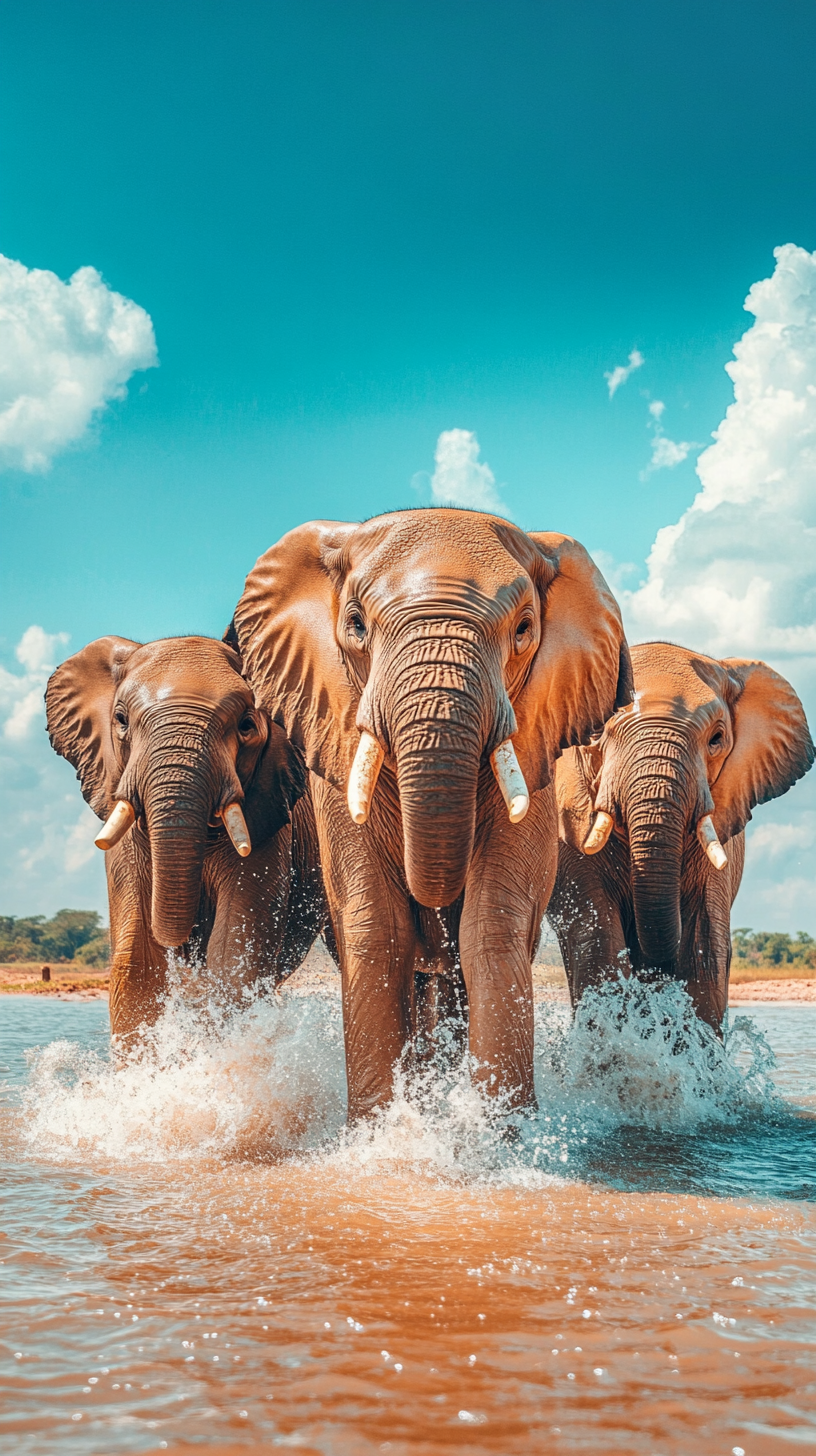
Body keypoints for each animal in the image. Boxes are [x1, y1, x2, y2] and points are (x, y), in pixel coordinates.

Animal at [46, 631, 326, 1042]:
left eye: (246, 725)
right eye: (121, 720)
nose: (184, 944)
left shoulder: (269, 828)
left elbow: (233, 952)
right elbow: (138, 963)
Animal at [230, 506, 632, 1118]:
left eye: (523, 630)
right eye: (355, 625)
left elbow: (490, 925)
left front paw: (495, 1135)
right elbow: (379, 929)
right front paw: (381, 1130)